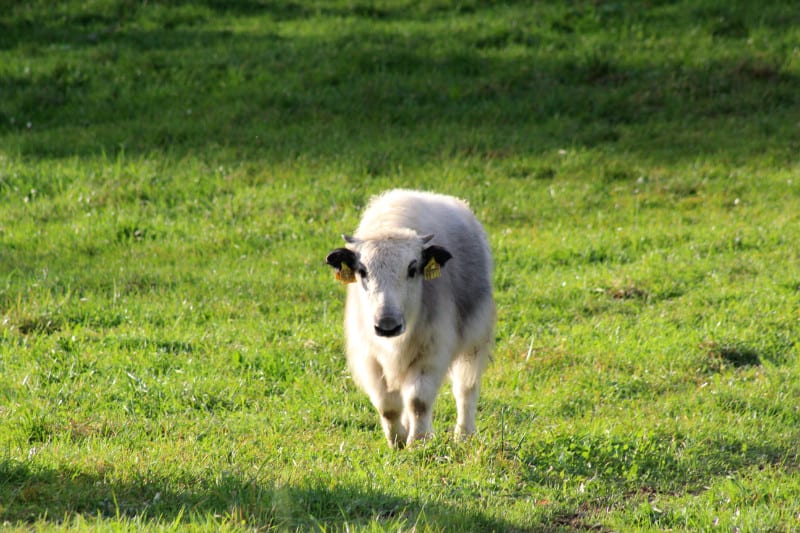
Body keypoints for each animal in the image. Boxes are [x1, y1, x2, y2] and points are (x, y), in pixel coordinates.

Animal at [326, 189, 494, 446]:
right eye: (362, 271)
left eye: (412, 269)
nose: (387, 326)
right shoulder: (370, 359)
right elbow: (387, 406)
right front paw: (397, 441)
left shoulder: (431, 352)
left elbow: (418, 402)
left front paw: (419, 441)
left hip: (473, 344)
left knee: (465, 389)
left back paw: (463, 435)